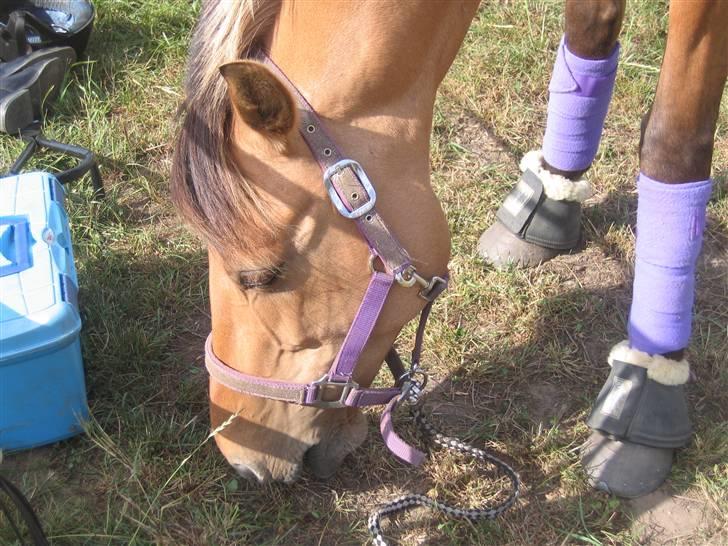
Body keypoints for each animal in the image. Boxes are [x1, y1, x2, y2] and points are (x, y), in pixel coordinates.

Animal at [169, 0, 724, 488]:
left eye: (260, 276)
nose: (240, 457)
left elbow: (673, 143)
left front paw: (644, 392)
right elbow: (591, 32)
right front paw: (552, 194)